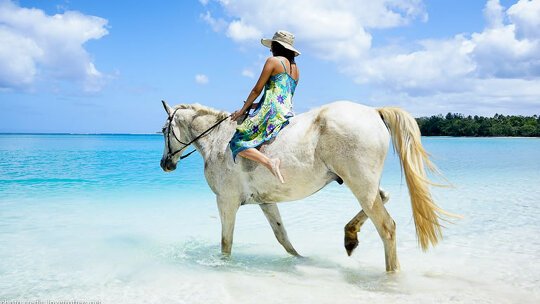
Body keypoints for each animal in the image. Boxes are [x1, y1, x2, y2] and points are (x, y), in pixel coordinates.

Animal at [160, 100, 452, 270]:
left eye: (163, 130)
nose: (165, 163)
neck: (218, 141)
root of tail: (373, 112)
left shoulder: (226, 202)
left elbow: (226, 243)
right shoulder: (266, 202)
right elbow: (283, 237)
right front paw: (302, 259)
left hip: (360, 185)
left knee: (387, 228)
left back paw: (391, 275)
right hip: (365, 186)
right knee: (385, 197)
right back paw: (350, 237)